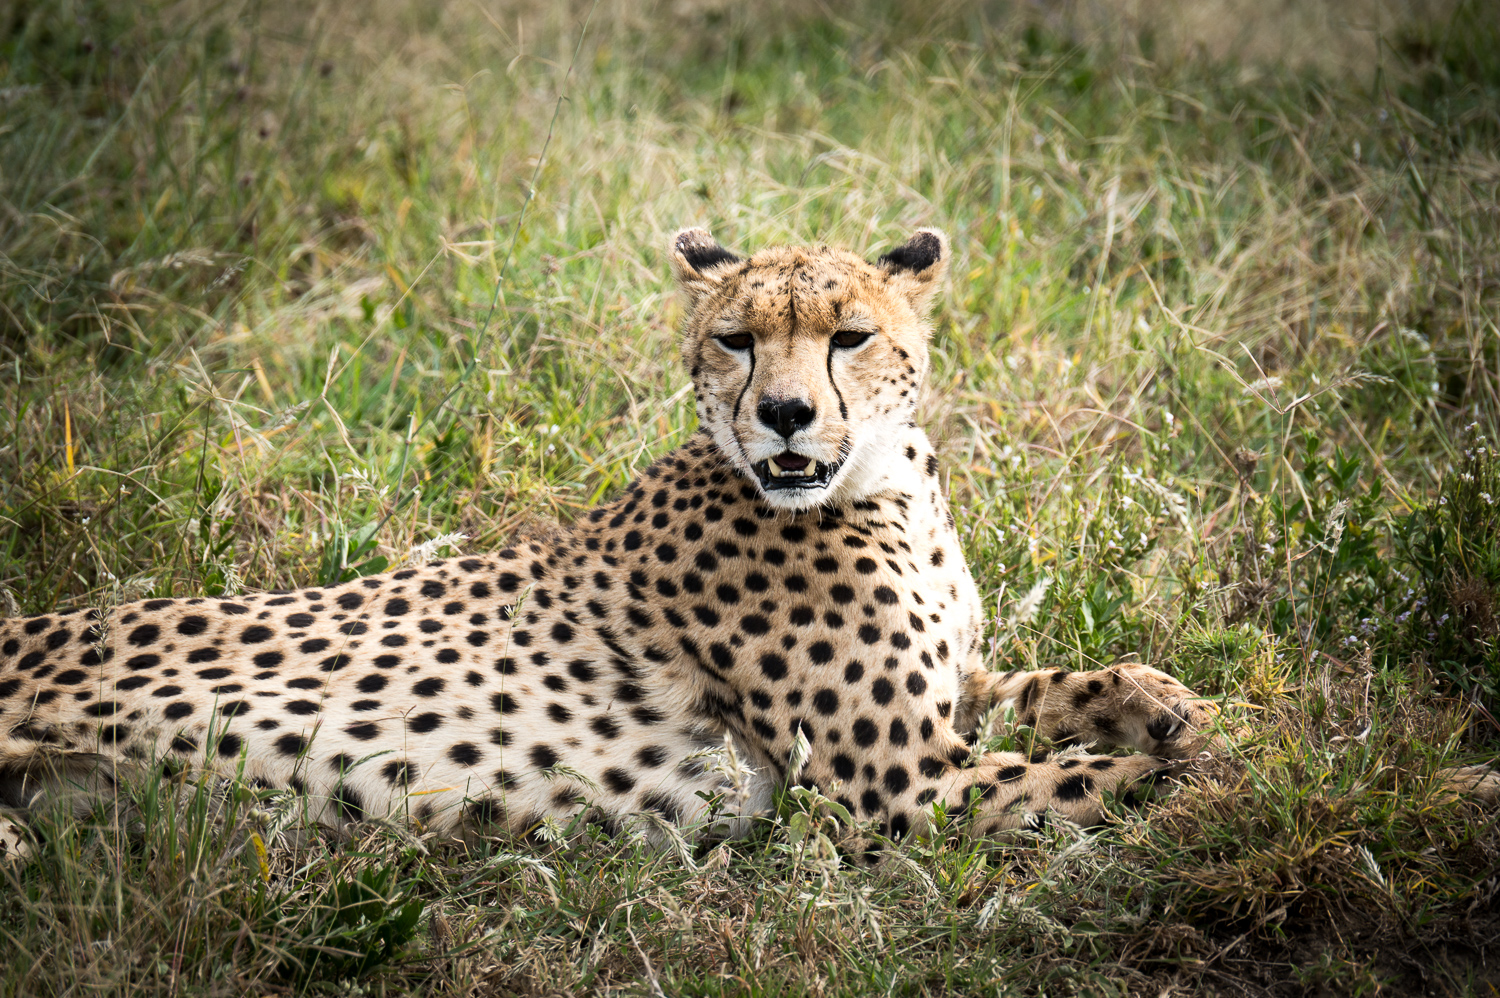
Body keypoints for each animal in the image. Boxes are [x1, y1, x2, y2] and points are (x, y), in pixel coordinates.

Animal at [0, 228, 1314, 858]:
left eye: (847, 335)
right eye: (736, 338)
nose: (784, 413)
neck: (890, 482)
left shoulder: (951, 699)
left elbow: (1050, 686)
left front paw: (1161, 699)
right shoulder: (900, 783)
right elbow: (1109, 782)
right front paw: (1244, 778)